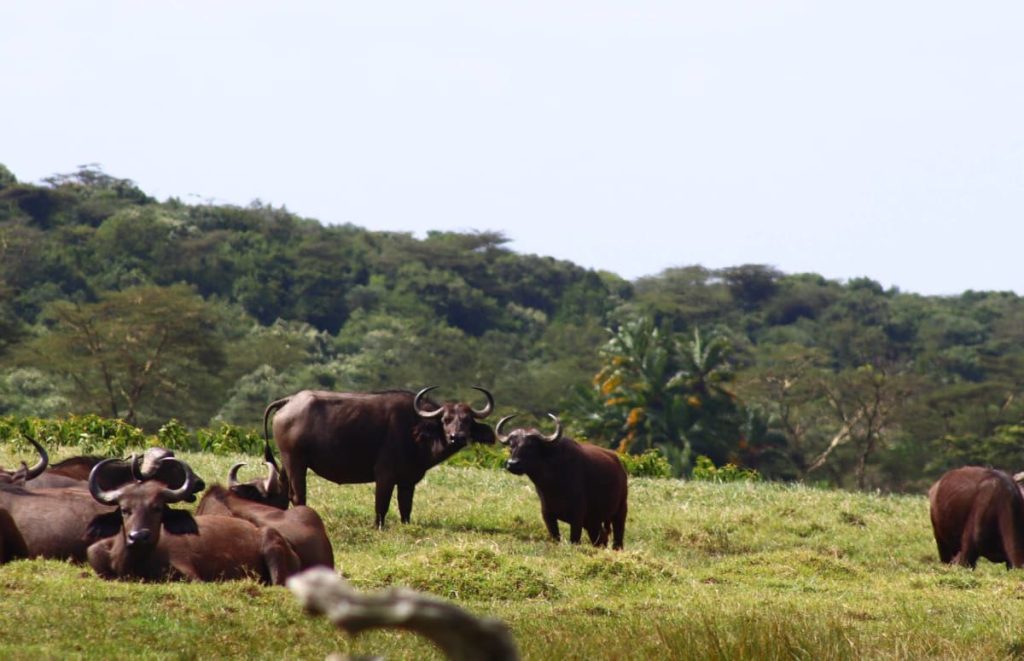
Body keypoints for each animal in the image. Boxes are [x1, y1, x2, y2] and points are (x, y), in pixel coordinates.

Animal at [264, 382, 495, 527]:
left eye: (467, 421)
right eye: (446, 420)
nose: (457, 437)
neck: (414, 429)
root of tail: (289, 401)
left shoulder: (408, 480)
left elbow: (405, 506)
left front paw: (405, 524)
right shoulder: (385, 475)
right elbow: (381, 503)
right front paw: (378, 526)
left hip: (286, 462)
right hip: (296, 461)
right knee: (298, 494)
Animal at [499, 413, 626, 548]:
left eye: (531, 446)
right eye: (511, 445)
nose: (513, 464)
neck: (553, 484)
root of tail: (619, 464)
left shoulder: (577, 516)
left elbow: (574, 539)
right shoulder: (547, 515)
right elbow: (555, 537)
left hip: (620, 510)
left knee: (618, 536)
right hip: (593, 521)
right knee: (601, 537)